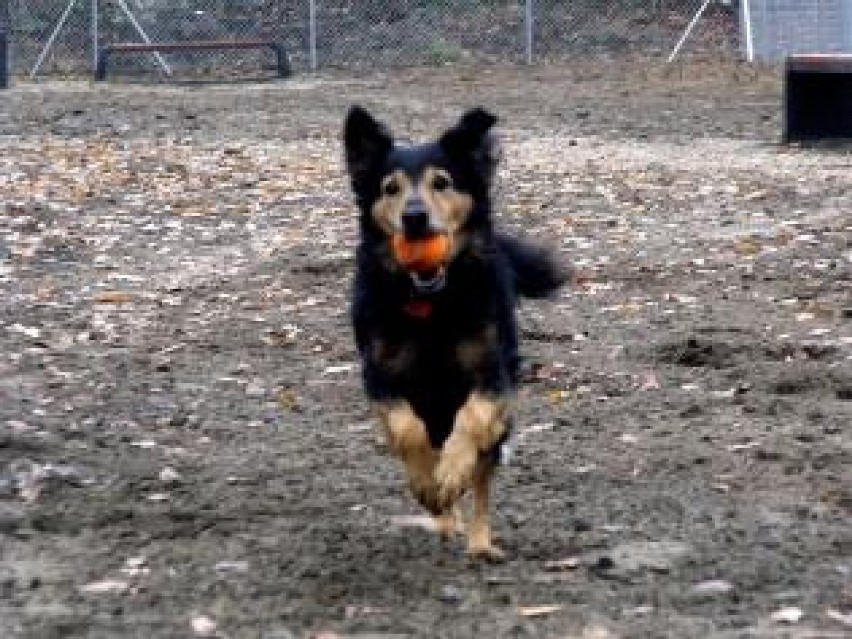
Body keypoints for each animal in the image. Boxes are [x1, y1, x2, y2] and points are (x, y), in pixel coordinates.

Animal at [340, 106, 564, 560]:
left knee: (482, 481)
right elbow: (407, 431)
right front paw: (430, 485)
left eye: (441, 182)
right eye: (390, 188)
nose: (414, 217)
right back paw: (443, 517)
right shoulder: (379, 376)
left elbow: (473, 418)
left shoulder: (493, 373)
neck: (433, 304)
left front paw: (453, 471)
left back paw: (479, 542)